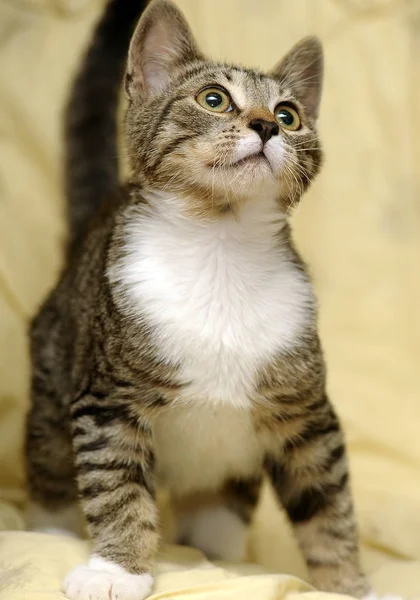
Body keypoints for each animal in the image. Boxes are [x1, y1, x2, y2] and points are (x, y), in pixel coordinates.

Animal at [26, 1, 372, 600]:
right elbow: (118, 488)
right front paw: (116, 569)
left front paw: (347, 585)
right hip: (54, 378)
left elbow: (328, 505)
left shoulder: (307, 412)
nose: (265, 126)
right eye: (214, 99)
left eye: (289, 115)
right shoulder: (108, 400)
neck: (221, 251)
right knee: (49, 463)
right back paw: (51, 531)